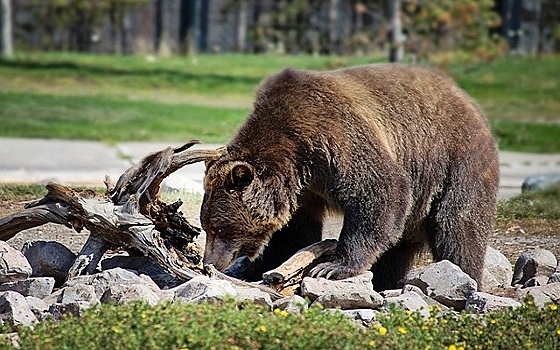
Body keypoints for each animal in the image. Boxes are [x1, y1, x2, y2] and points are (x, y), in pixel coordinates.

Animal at [201, 63, 498, 290]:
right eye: (207, 226)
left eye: (218, 228)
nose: (209, 262)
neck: (296, 157)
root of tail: (467, 99)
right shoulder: (304, 190)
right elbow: (294, 233)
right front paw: (267, 265)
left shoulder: (334, 138)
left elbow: (380, 189)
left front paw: (332, 266)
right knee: (397, 249)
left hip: (455, 162)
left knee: (457, 227)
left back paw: (463, 275)